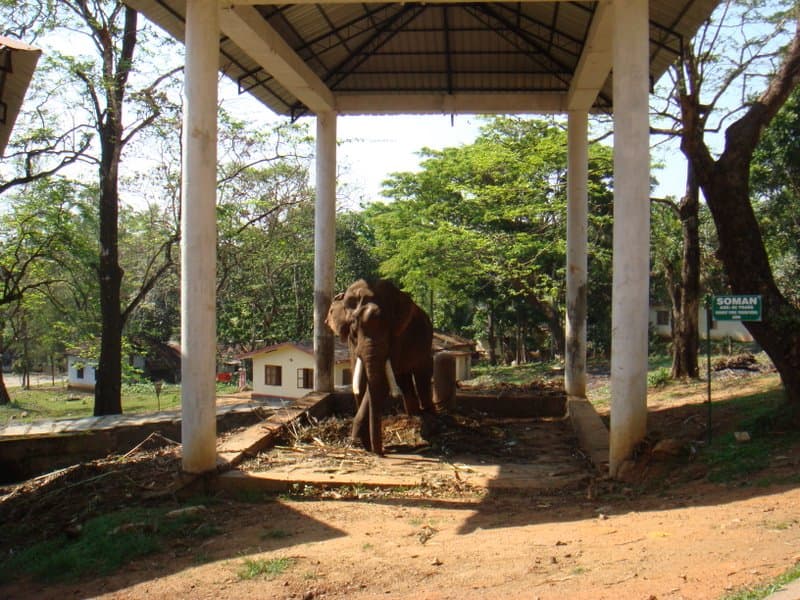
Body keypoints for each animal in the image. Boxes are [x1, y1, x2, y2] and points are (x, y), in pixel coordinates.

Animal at [325, 279, 435, 454]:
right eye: (354, 328)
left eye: (388, 328)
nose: (380, 452)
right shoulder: (351, 343)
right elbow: (360, 378)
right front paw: (360, 442)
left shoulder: (398, 336)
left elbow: (381, 383)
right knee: (403, 379)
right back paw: (413, 414)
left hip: (426, 342)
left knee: (422, 374)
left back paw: (429, 416)